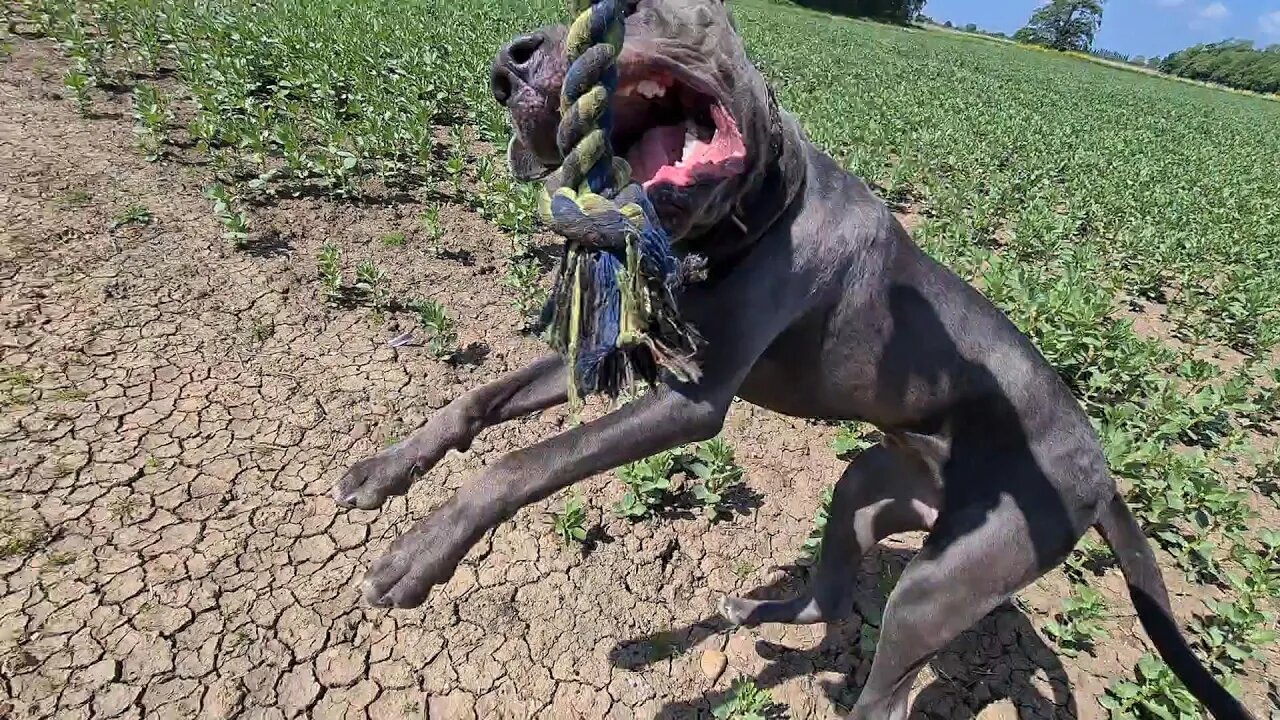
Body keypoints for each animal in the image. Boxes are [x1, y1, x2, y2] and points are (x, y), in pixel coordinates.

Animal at [327, 2, 1249, 712]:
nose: (508, 63)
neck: (745, 217)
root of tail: (1104, 472)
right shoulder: (630, 357)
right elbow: (476, 403)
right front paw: (382, 472)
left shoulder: (693, 402)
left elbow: (524, 462)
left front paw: (420, 553)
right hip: (870, 489)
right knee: (830, 598)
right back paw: (754, 615)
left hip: (941, 584)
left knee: (885, 692)